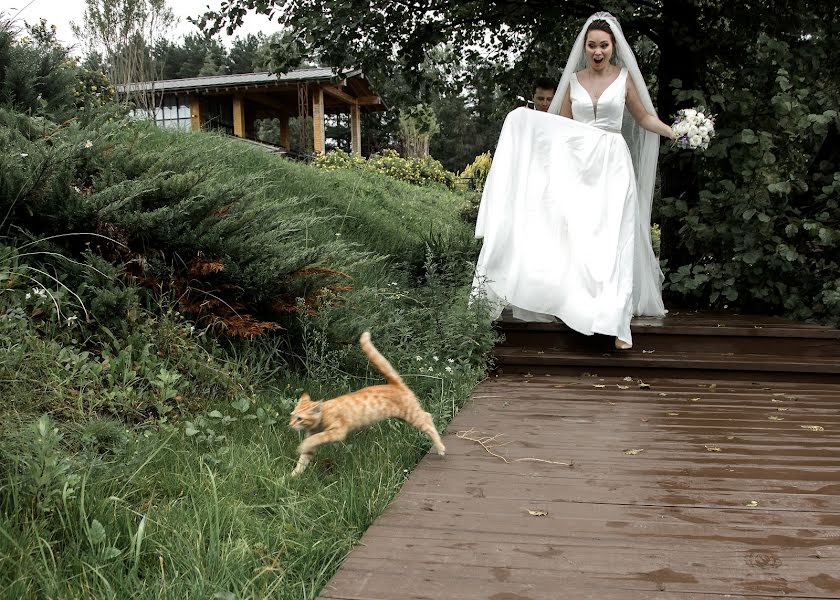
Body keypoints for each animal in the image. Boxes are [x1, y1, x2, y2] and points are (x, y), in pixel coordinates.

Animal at [288, 330, 446, 476]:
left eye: (299, 418)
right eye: (292, 415)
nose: (290, 425)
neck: (321, 418)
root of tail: (395, 384)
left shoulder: (337, 432)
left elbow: (316, 438)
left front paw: (301, 446)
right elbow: (303, 459)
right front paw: (293, 476)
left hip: (410, 414)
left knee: (427, 418)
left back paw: (440, 448)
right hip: (404, 416)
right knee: (426, 416)